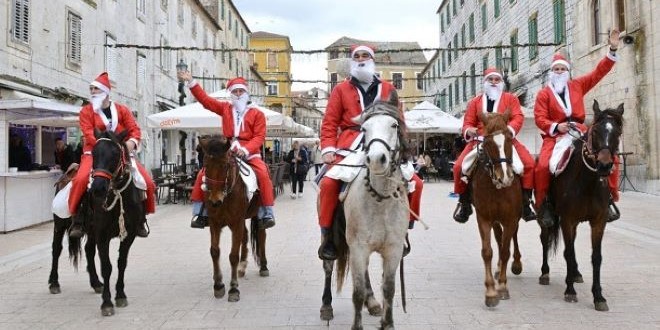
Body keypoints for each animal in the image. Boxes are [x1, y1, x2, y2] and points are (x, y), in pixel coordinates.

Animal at [69, 130, 144, 318]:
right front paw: (107, 303)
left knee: (88, 250)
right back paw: (54, 283)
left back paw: (96, 283)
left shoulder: (129, 234)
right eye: (94, 153)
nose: (98, 188)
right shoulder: (102, 235)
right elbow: (107, 267)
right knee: (56, 250)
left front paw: (120, 295)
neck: (117, 195)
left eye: (116, 154)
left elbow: (121, 263)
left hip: (91, 232)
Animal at [199, 135, 266, 302]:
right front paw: (218, 285)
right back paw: (242, 266)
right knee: (245, 235)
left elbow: (233, 256)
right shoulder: (215, 223)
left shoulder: (236, 222)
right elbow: (215, 251)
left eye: (225, 165)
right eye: (205, 165)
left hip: (256, 214)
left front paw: (233, 289)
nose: (215, 201)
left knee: (261, 235)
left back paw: (263, 266)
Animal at [336, 93, 412, 330]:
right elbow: (357, 292)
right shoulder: (358, 247)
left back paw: (373, 303)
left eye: (394, 124)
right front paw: (356, 325)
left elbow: (389, 288)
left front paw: (387, 323)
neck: (381, 201)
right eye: (364, 129)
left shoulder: (394, 249)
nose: (377, 159)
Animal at [472, 111, 524, 306]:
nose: (505, 177)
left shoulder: (511, 218)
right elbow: (488, 251)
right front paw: (490, 292)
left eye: (509, 137)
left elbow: (505, 250)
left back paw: (516, 264)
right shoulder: (484, 218)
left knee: (511, 238)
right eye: (487, 142)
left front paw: (502, 286)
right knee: (498, 237)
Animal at [540, 100, 628, 312]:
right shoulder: (567, 220)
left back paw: (575, 273)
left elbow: (596, 257)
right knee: (545, 239)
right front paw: (570, 290)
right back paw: (545, 273)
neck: (587, 183)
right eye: (595, 131)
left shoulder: (598, 222)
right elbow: (568, 252)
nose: (604, 165)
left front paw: (598, 296)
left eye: (618, 132)